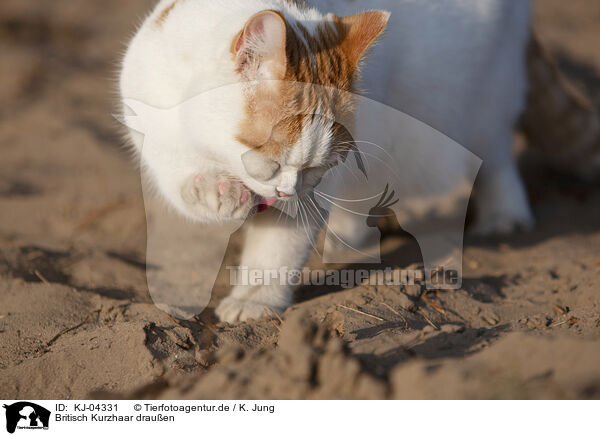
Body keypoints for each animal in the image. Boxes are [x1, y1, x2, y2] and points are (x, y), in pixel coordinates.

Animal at [119, 0, 596, 320]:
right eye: (268, 161)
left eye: (315, 167)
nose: (286, 191)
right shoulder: (148, 119)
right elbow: (177, 174)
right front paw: (214, 192)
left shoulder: (316, 190)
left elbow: (275, 249)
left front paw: (255, 301)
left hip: (482, 101)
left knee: (497, 154)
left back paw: (503, 214)